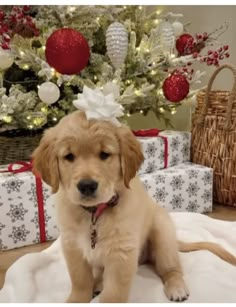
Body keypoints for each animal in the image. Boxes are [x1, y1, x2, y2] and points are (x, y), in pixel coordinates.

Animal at [32, 112, 236, 304]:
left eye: (104, 154)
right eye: (69, 157)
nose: (87, 186)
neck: (94, 214)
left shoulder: (121, 253)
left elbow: (113, 294)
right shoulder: (72, 247)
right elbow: (80, 281)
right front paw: (77, 299)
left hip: (163, 236)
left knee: (171, 268)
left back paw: (176, 286)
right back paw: (97, 283)